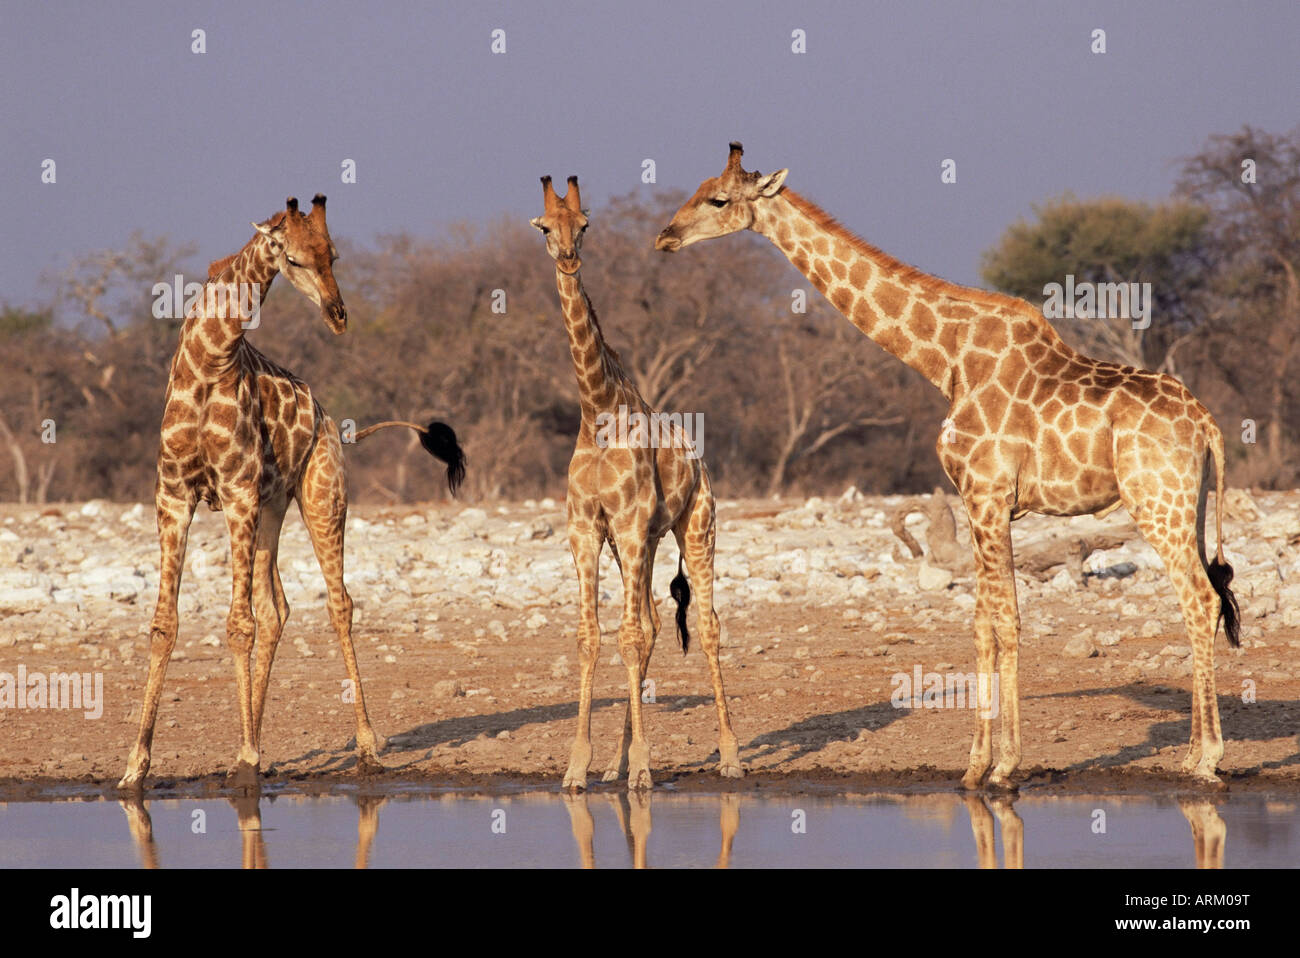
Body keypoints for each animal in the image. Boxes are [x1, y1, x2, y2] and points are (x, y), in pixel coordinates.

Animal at [117, 195, 466, 791]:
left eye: (335, 254)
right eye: (295, 259)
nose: (339, 314)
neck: (209, 361)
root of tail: (329, 420)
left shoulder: (235, 491)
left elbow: (238, 625)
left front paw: (246, 758)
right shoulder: (174, 496)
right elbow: (166, 625)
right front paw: (136, 767)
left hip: (321, 495)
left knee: (337, 603)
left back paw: (363, 746)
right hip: (272, 508)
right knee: (277, 607)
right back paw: (256, 744)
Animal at [531, 175, 741, 790]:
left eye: (585, 224)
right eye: (545, 227)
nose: (569, 258)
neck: (597, 407)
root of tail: (700, 461)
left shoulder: (625, 525)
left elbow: (626, 636)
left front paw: (643, 767)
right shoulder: (585, 529)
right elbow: (592, 637)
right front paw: (580, 766)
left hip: (696, 527)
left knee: (706, 623)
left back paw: (730, 755)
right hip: (644, 544)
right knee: (649, 623)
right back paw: (620, 762)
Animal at [657, 143, 1241, 788]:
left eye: (718, 200)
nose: (665, 236)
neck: (948, 361)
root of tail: (1207, 423)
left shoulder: (987, 495)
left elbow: (1006, 620)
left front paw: (1006, 764)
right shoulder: (981, 502)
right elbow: (984, 622)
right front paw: (976, 765)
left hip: (1157, 503)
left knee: (1201, 598)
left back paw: (1209, 757)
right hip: (1189, 505)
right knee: (1201, 598)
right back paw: (1191, 752)